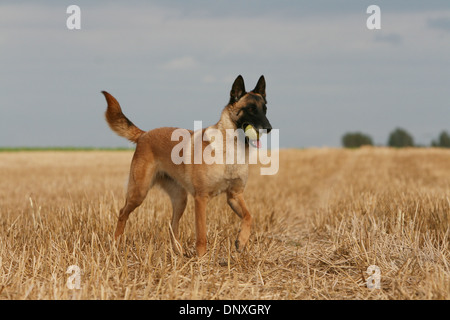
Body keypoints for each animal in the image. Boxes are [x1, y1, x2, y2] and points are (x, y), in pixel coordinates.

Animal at [101, 75, 270, 258]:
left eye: (265, 109)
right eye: (251, 109)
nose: (269, 128)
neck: (230, 148)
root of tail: (144, 134)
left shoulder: (234, 196)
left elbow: (249, 217)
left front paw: (242, 241)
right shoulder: (201, 199)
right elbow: (201, 234)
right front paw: (202, 259)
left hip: (180, 199)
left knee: (172, 225)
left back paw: (179, 253)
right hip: (139, 192)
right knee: (122, 213)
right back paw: (115, 244)